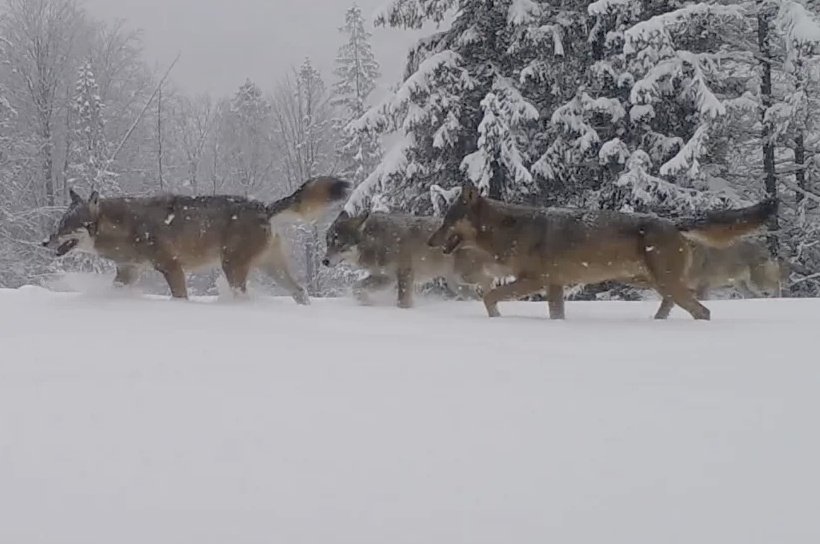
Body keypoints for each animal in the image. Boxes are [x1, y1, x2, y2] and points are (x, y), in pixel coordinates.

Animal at [42, 177, 350, 302]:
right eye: (58, 225)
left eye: (67, 226)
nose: (44, 242)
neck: (127, 227)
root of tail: (264, 207)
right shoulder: (128, 272)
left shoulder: (172, 268)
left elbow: (180, 296)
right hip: (269, 268)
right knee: (299, 292)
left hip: (232, 268)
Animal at [324, 210, 496, 308]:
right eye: (327, 243)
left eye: (339, 244)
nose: (324, 261)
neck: (378, 242)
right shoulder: (385, 278)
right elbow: (356, 287)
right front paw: (366, 302)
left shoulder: (404, 273)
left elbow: (402, 300)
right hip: (458, 285)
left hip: (465, 276)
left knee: (489, 281)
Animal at [426, 181, 780, 320]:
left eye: (446, 221)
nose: (429, 242)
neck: (510, 229)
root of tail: (672, 222)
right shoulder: (555, 286)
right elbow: (556, 314)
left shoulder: (534, 281)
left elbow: (489, 297)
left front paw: (497, 319)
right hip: (654, 283)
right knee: (676, 306)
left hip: (663, 283)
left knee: (702, 310)